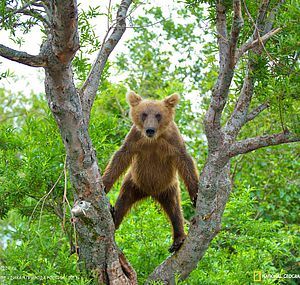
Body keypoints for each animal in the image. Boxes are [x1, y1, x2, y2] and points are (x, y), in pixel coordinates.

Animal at [102, 91, 199, 251]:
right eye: (144, 114)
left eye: (158, 115)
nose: (150, 130)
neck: (154, 140)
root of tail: (150, 192)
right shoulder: (134, 138)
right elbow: (120, 158)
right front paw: (104, 184)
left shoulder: (173, 140)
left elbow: (186, 162)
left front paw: (196, 194)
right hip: (133, 182)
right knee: (123, 200)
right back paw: (113, 215)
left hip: (168, 187)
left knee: (175, 210)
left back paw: (178, 240)